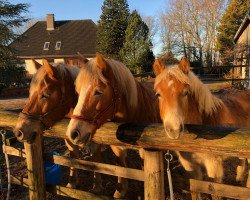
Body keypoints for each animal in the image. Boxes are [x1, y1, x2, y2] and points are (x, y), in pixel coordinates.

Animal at [12, 59, 101, 189]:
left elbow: (97, 160)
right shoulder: (69, 139)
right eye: (29, 93)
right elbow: (73, 157)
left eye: (45, 94)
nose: (18, 131)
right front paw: (72, 182)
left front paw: (96, 185)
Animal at [65, 52, 161, 198]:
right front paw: (120, 190)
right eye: (78, 91)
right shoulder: (117, 147)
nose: (73, 133)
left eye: (98, 92)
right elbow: (121, 166)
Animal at [153, 57, 249, 199]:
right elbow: (195, 191)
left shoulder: (214, 167)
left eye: (186, 93)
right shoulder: (192, 167)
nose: (174, 130)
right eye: (158, 94)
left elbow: (215, 193)